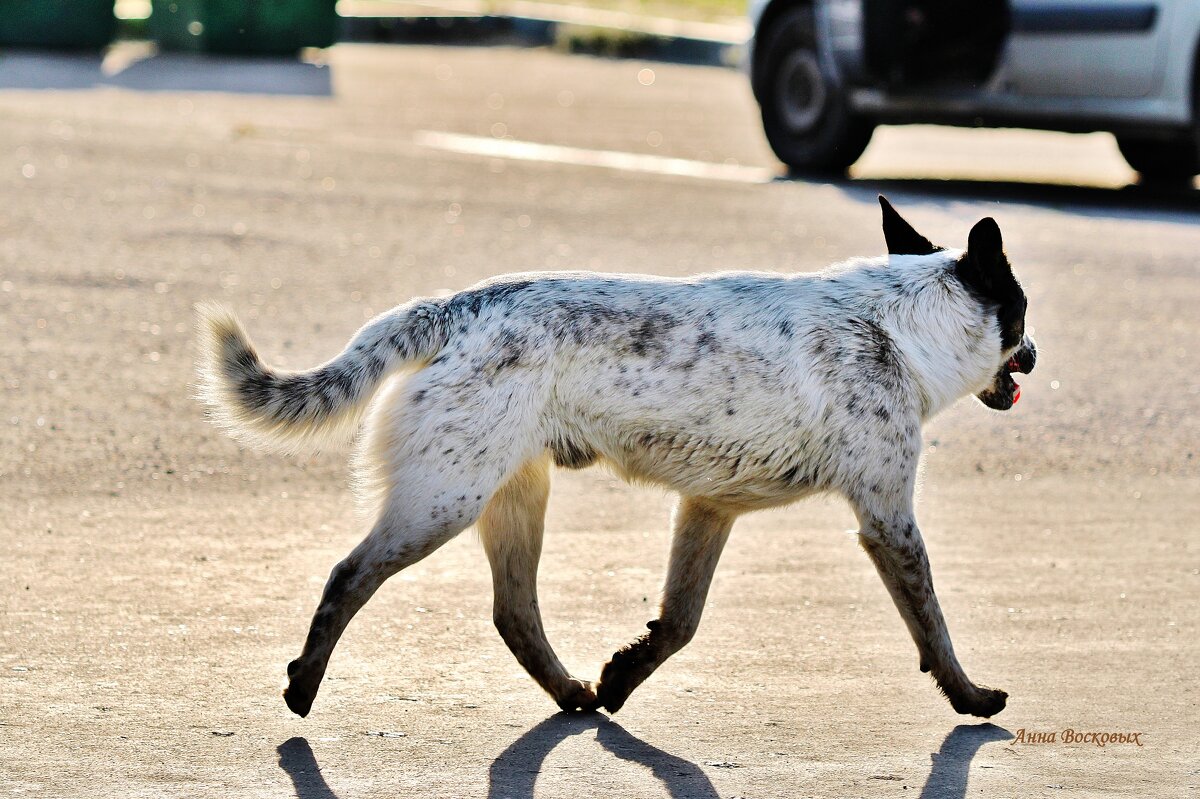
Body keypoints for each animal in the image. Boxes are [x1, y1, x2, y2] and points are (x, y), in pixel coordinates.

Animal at [194, 197, 1032, 715]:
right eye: (1021, 311)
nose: (1033, 353)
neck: (899, 323)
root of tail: (455, 307)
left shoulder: (709, 509)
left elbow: (680, 620)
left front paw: (624, 674)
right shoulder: (888, 521)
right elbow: (934, 625)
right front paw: (970, 696)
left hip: (513, 496)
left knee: (514, 611)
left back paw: (570, 691)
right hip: (441, 499)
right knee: (349, 575)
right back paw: (304, 682)